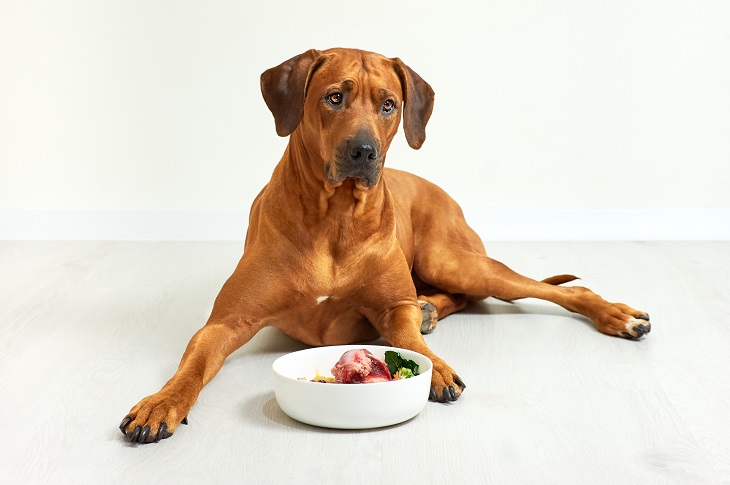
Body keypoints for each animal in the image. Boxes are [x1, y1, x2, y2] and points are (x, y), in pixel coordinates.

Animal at [118, 48, 648, 442]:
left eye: (388, 104)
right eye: (334, 98)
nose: (363, 152)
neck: (334, 218)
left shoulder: (393, 308)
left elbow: (409, 339)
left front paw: (436, 368)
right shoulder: (226, 322)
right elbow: (192, 365)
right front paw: (161, 403)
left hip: (452, 258)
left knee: (550, 289)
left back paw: (616, 315)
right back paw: (432, 309)